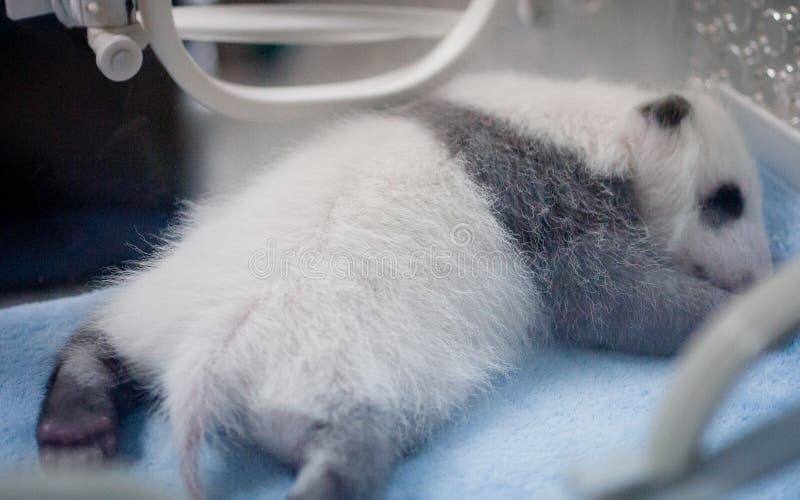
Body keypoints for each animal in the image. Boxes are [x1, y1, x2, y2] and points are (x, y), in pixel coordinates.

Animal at [35, 74, 772, 499]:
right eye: (727, 201)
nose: (762, 272)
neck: (575, 121)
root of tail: (205, 364)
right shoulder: (540, 202)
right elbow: (611, 293)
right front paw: (736, 312)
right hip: (340, 368)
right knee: (355, 448)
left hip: (167, 294)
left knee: (96, 343)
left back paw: (75, 430)